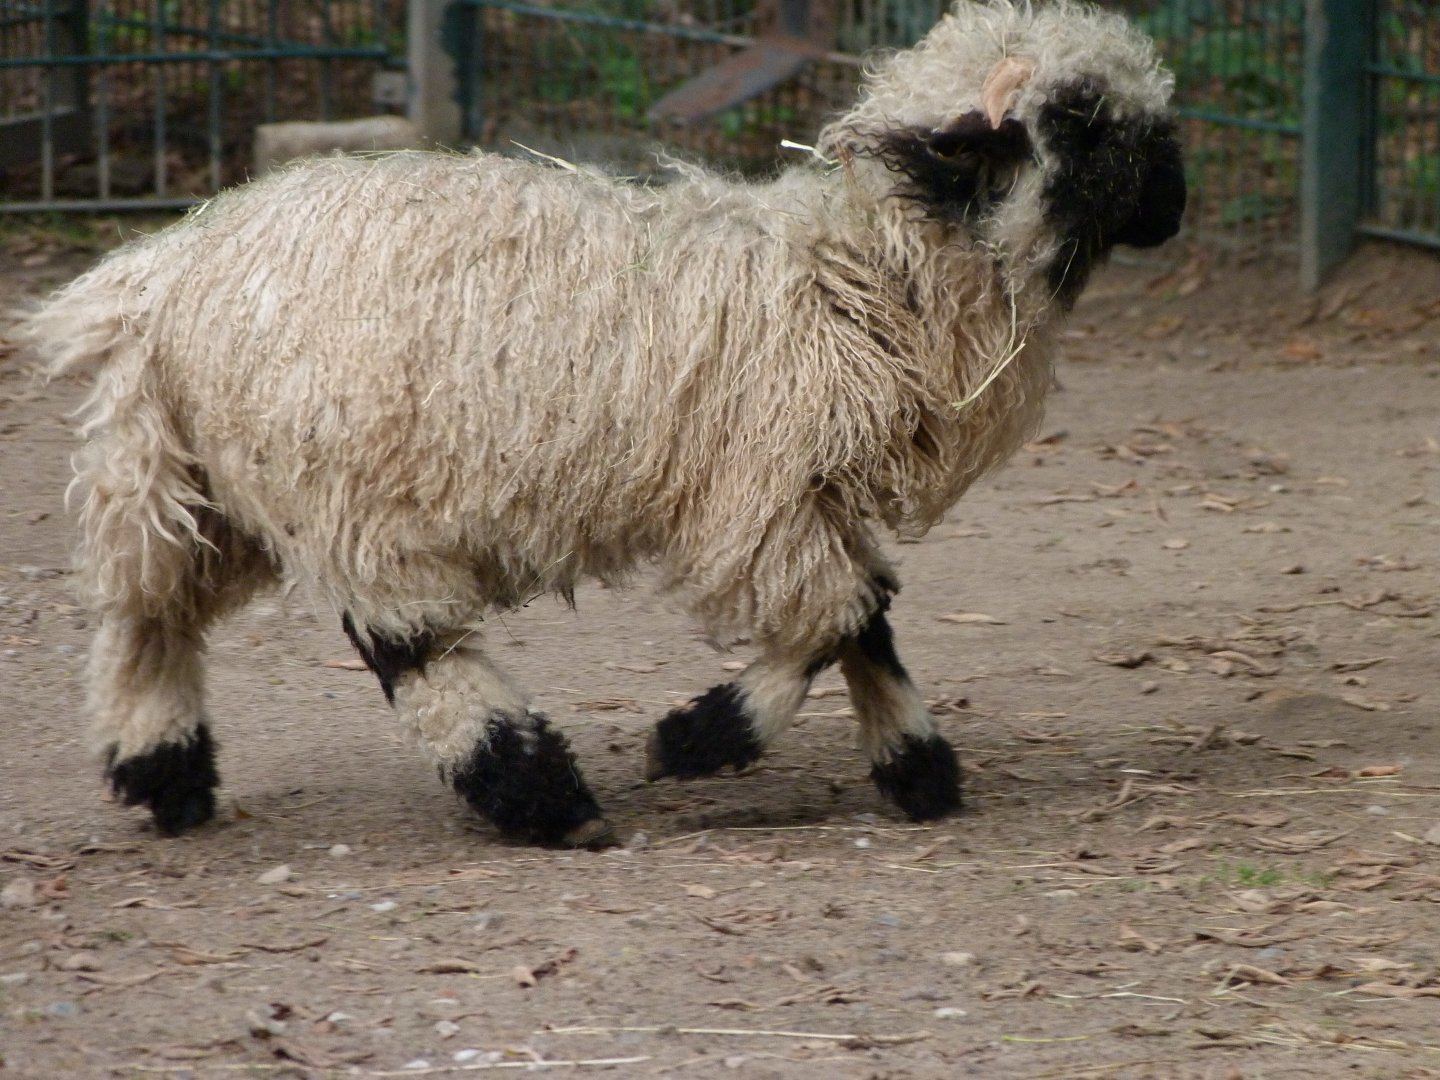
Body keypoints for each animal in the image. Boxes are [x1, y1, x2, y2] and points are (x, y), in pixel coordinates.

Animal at [25, 0, 1184, 848]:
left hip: (209, 476)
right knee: (405, 643)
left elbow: (869, 617)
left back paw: (164, 774)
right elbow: (836, 614)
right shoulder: (758, 495)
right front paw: (699, 739)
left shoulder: (807, 489)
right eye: (1081, 120)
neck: (867, 273)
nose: (1177, 200)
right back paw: (538, 793)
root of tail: (160, 277)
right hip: (343, 485)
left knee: (148, 610)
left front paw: (919, 770)